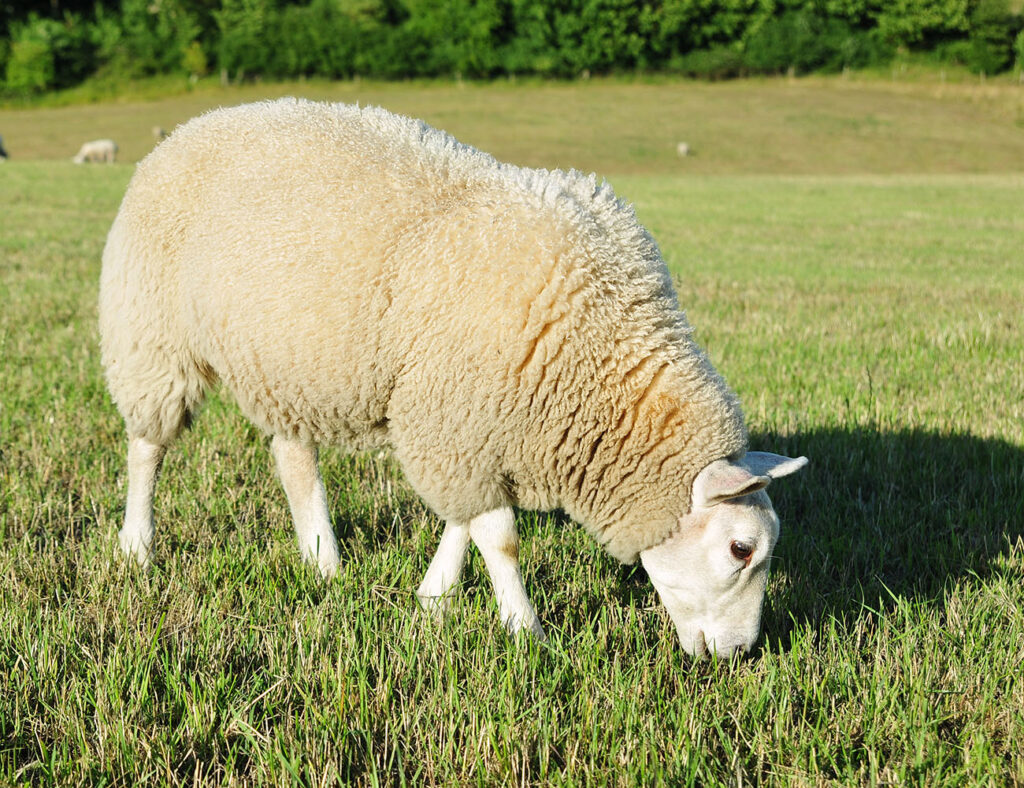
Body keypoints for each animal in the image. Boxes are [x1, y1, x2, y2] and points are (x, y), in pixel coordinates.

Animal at [101, 101, 806, 659]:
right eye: (742, 549)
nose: (741, 654)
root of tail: (191, 126)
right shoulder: (459, 413)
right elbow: (501, 537)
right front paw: (526, 630)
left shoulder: (468, 422)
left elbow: (464, 521)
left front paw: (433, 596)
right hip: (151, 334)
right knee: (147, 447)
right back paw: (137, 544)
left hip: (287, 364)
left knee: (292, 455)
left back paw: (323, 560)